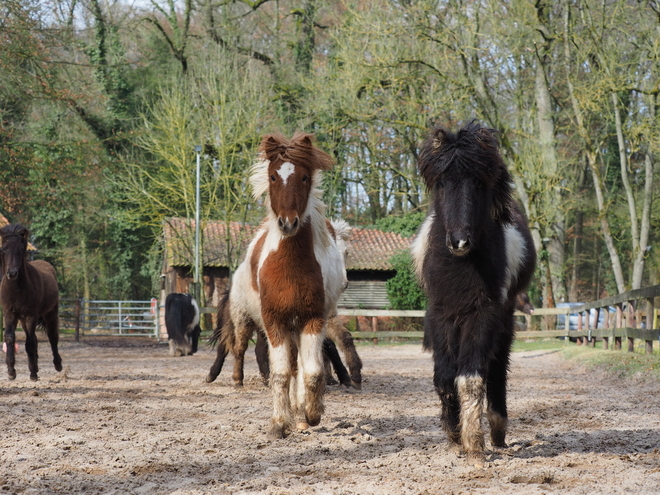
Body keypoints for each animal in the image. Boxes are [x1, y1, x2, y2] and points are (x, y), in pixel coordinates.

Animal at [0, 226, 62, 384]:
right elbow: (10, 338)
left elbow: (29, 343)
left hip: (50, 313)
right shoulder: (9, 313)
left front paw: (33, 374)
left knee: (52, 336)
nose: (12, 273)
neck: (17, 289)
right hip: (23, 318)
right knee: (34, 338)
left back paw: (57, 365)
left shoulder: (30, 315)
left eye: (21, 249)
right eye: (4, 248)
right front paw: (11, 372)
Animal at [223, 132, 348, 438]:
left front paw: (311, 414)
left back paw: (301, 413)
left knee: (300, 366)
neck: (290, 269)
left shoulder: (312, 319)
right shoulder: (274, 321)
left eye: (304, 177)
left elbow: (312, 372)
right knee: (281, 363)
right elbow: (280, 374)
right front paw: (279, 423)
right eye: (272, 176)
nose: (288, 223)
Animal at [412, 123, 536, 468]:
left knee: (496, 364)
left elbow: (470, 377)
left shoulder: (484, 313)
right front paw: (454, 435)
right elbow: (444, 378)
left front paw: (474, 443)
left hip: (503, 318)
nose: (460, 242)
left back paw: (497, 430)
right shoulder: (440, 314)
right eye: (442, 182)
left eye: (479, 183)